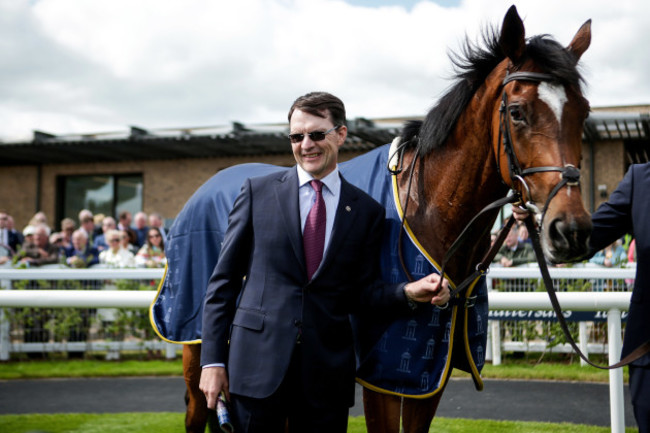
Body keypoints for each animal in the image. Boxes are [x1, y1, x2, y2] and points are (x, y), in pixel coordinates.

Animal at [148, 4, 592, 432]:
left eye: (583, 112)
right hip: (197, 344)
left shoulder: (430, 372)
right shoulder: (387, 373)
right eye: (517, 112)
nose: (571, 230)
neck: (430, 206)